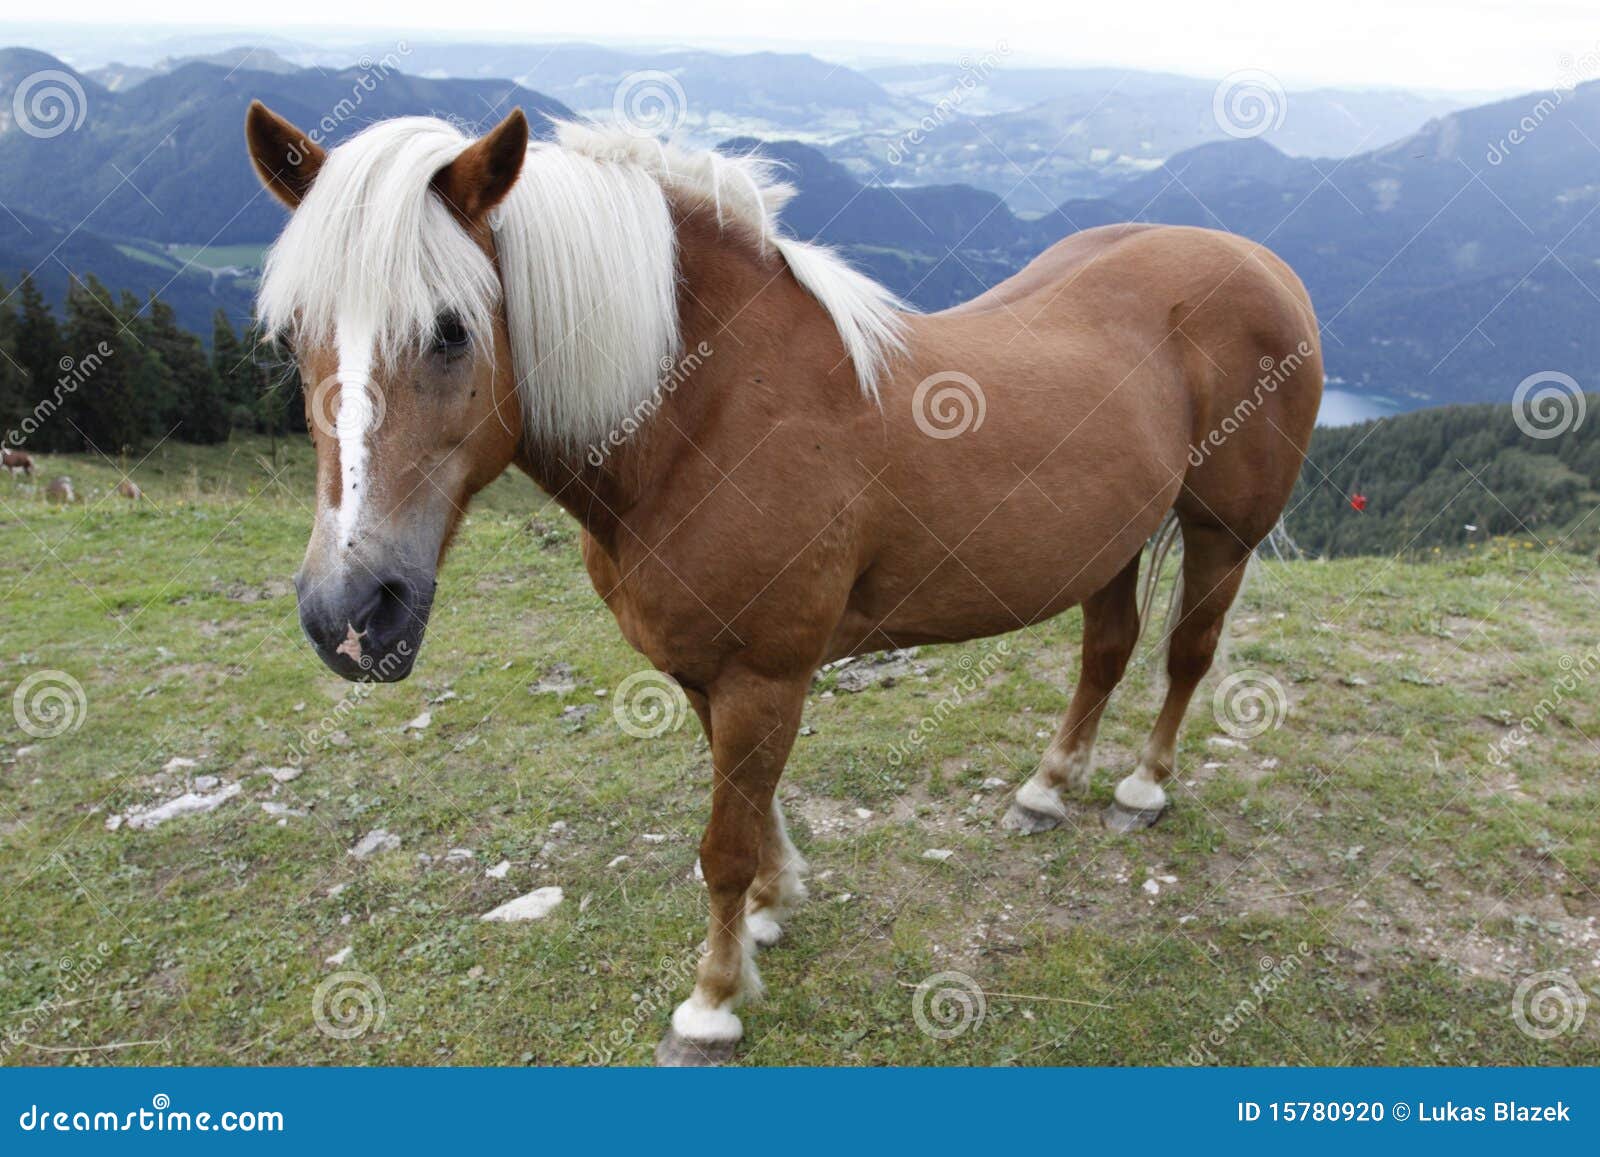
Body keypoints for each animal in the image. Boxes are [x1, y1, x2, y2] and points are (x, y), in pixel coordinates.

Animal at [243, 102, 1318, 1068]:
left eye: (451, 331)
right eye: (292, 336)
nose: (349, 614)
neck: (706, 415)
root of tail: (1262, 262)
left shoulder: (763, 673)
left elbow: (724, 839)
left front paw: (712, 1004)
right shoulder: (703, 672)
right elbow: (753, 814)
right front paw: (771, 906)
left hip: (1220, 535)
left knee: (1185, 654)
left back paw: (1142, 787)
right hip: (1111, 542)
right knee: (1106, 650)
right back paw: (1048, 790)